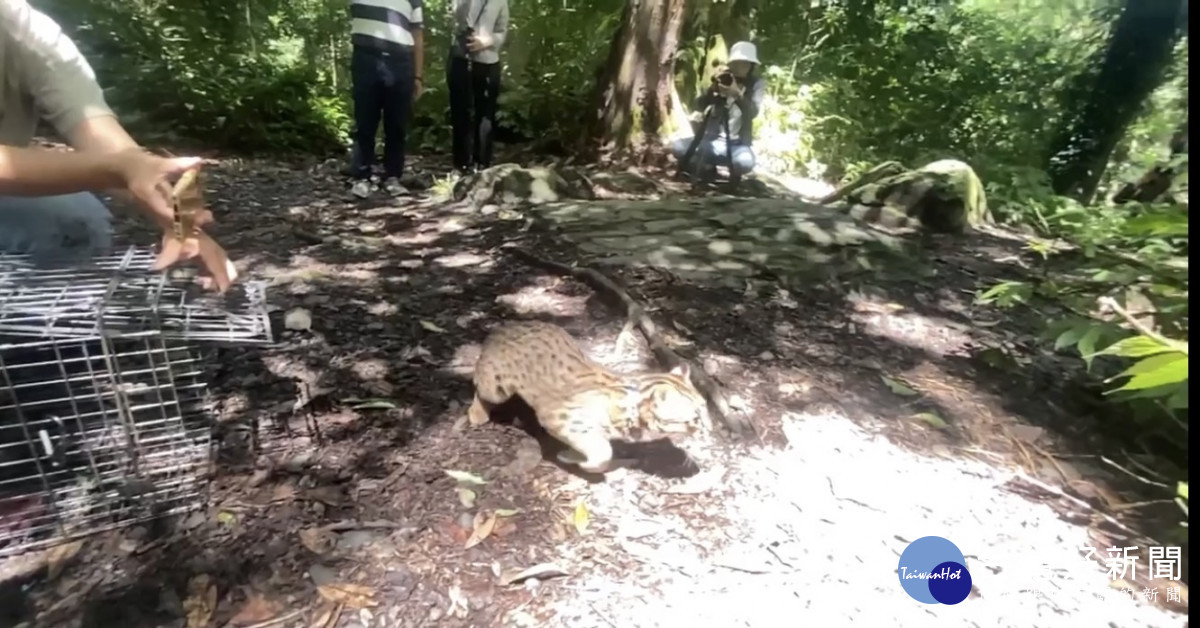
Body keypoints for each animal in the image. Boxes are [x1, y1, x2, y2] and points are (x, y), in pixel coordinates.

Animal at [468, 321, 710, 475]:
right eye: (695, 419)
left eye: (706, 409)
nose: (710, 430)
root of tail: (502, 327)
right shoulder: (559, 417)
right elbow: (603, 452)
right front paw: (584, 464)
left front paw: (573, 455)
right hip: (497, 388)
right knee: (478, 384)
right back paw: (477, 412)